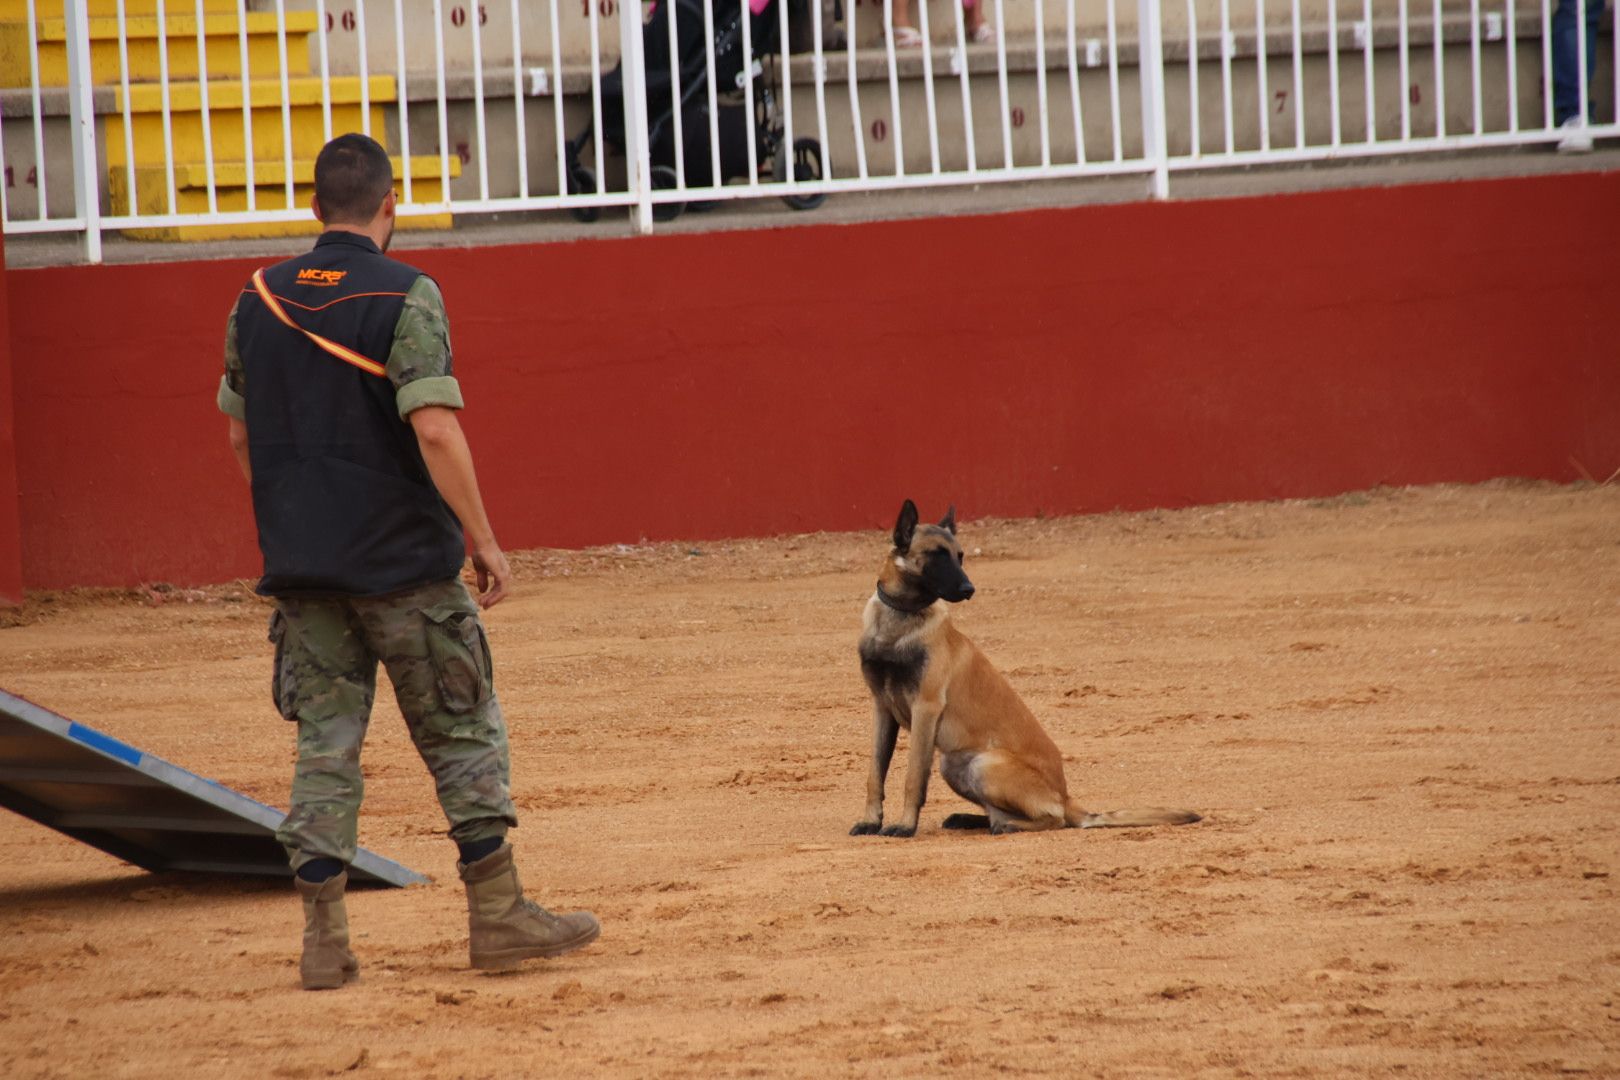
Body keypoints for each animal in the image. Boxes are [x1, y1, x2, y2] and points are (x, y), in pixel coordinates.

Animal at [855, 501, 1198, 841]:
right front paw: (871, 821)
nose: (969, 588)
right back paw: (971, 819)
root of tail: (1066, 797)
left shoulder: (925, 709)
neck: (900, 619)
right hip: (954, 765)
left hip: (982, 765)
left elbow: (913, 778)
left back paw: (1007, 825)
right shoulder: (882, 709)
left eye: (959, 555)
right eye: (936, 554)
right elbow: (875, 774)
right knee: (1000, 814)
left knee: (1051, 818)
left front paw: (904, 826)